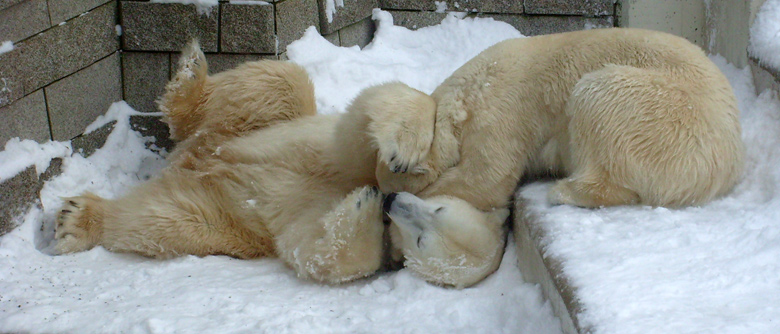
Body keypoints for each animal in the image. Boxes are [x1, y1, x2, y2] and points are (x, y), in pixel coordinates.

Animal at [378, 28, 744, 284]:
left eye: (438, 212)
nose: (391, 197)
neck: (473, 89)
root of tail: (727, 163)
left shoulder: (503, 113)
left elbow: (485, 180)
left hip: (663, 113)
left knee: (599, 96)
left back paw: (565, 190)